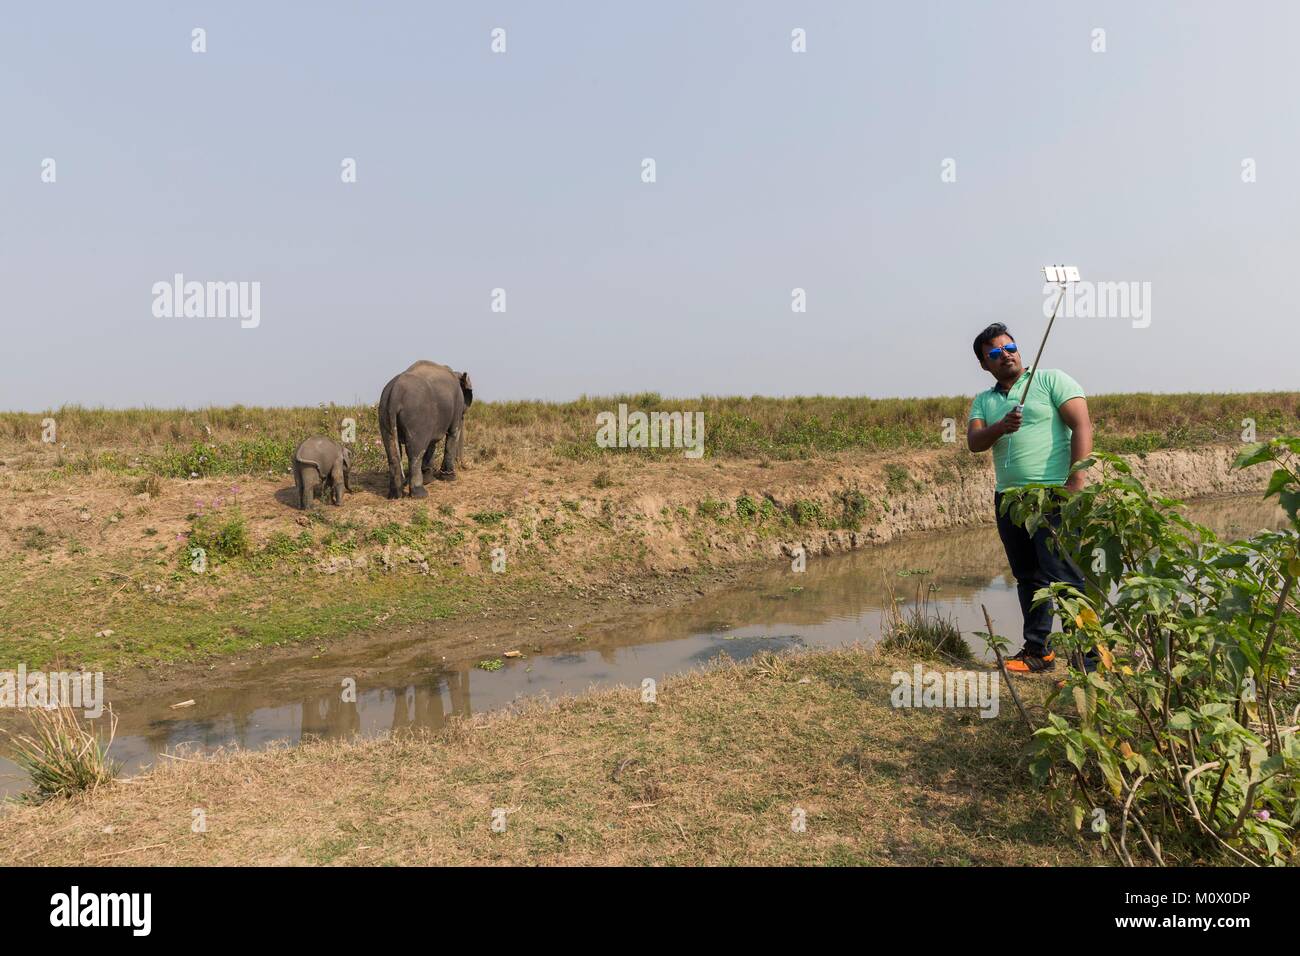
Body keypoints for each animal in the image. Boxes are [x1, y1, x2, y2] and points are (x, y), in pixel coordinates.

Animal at [379, 361, 475, 502]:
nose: (465, 466)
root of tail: (395, 393)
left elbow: (431, 442)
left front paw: (429, 480)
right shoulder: (457, 403)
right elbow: (452, 433)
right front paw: (449, 478)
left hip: (384, 413)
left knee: (392, 451)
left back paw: (395, 495)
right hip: (417, 416)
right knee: (415, 452)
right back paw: (420, 494)